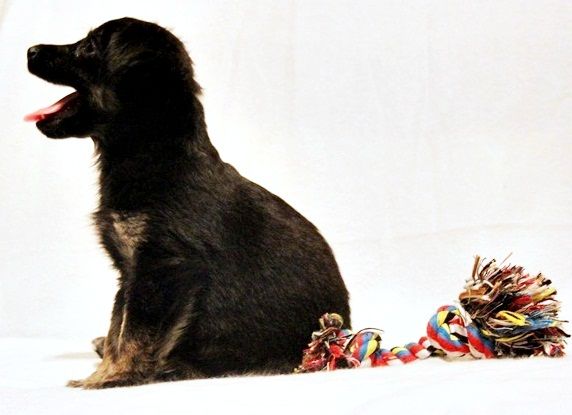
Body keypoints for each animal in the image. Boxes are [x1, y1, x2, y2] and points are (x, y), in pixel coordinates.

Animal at [26, 17, 350, 389]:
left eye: (90, 46)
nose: (30, 50)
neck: (155, 155)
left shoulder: (162, 266)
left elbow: (135, 331)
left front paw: (112, 377)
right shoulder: (131, 271)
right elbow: (118, 324)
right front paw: (106, 370)